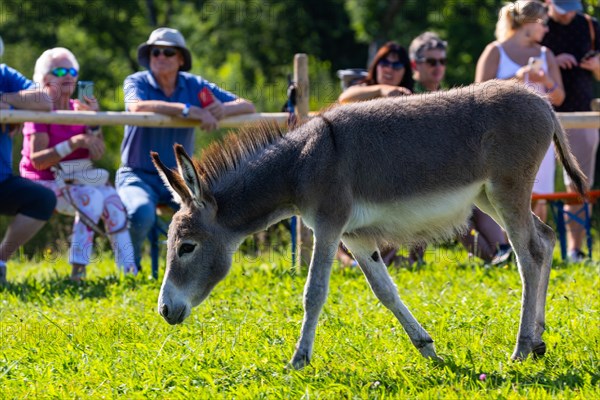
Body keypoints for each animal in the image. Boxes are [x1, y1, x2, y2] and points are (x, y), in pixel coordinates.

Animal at [151, 79, 584, 370]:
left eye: (186, 247)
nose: (164, 311)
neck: (302, 163)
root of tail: (541, 100)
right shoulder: (356, 238)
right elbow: (385, 292)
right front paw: (427, 348)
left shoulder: (327, 226)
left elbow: (314, 292)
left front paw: (298, 360)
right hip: (488, 198)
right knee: (546, 240)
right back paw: (539, 340)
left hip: (506, 191)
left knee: (528, 255)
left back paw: (522, 348)